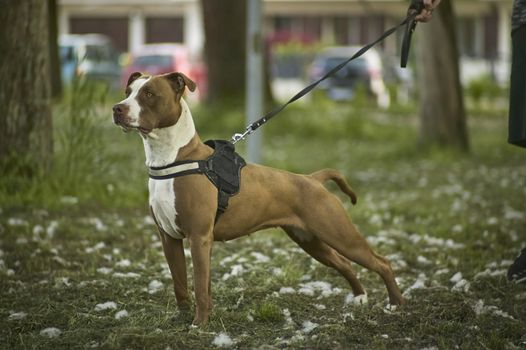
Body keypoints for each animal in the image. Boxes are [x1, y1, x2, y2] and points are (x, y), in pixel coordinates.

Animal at [113, 71, 406, 326]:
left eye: (149, 94)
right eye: (128, 92)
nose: (117, 108)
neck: (174, 157)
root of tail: (313, 179)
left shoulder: (199, 237)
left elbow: (199, 286)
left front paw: (199, 325)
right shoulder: (170, 238)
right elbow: (181, 284)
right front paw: (183, 318)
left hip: (340, 234)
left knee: (382, 262)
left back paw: (395, 304)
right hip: (311, 241)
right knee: (344, 263)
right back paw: (360, 297)